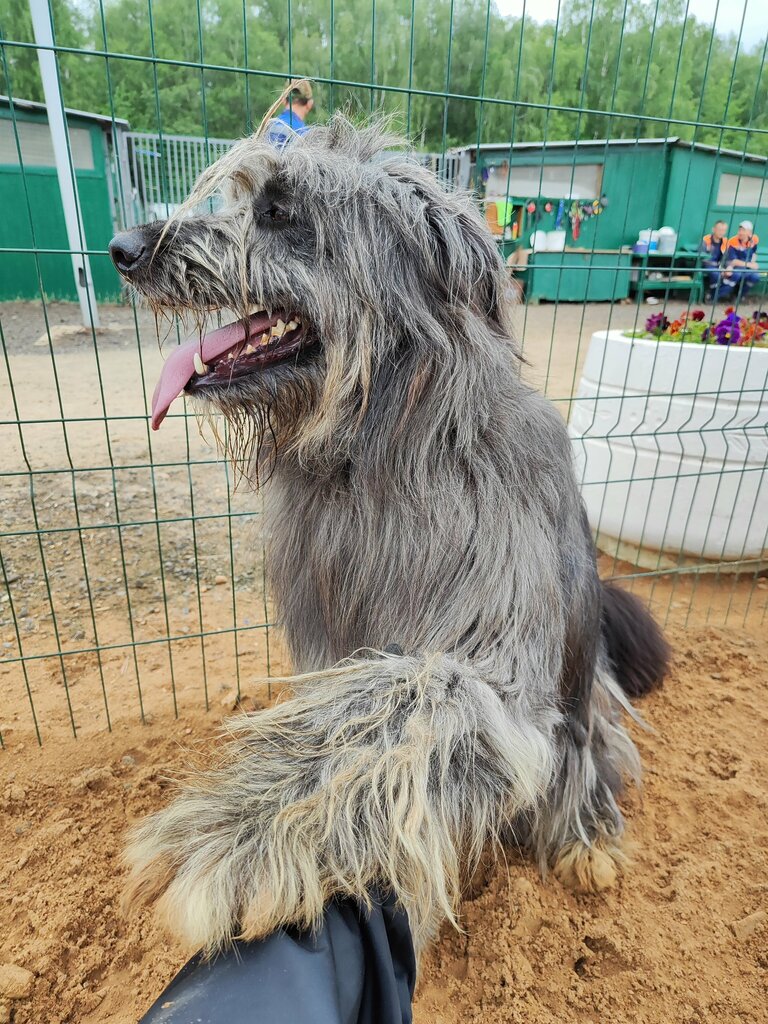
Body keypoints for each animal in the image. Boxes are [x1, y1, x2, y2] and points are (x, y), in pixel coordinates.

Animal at [108, 116, 667, 954]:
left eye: (280, 213)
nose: (124, 246)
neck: (380, 450)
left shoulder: (499, 670)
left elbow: (404, 697)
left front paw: (239, 829)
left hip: (581, 697)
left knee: (594, 752)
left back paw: (587, 839)